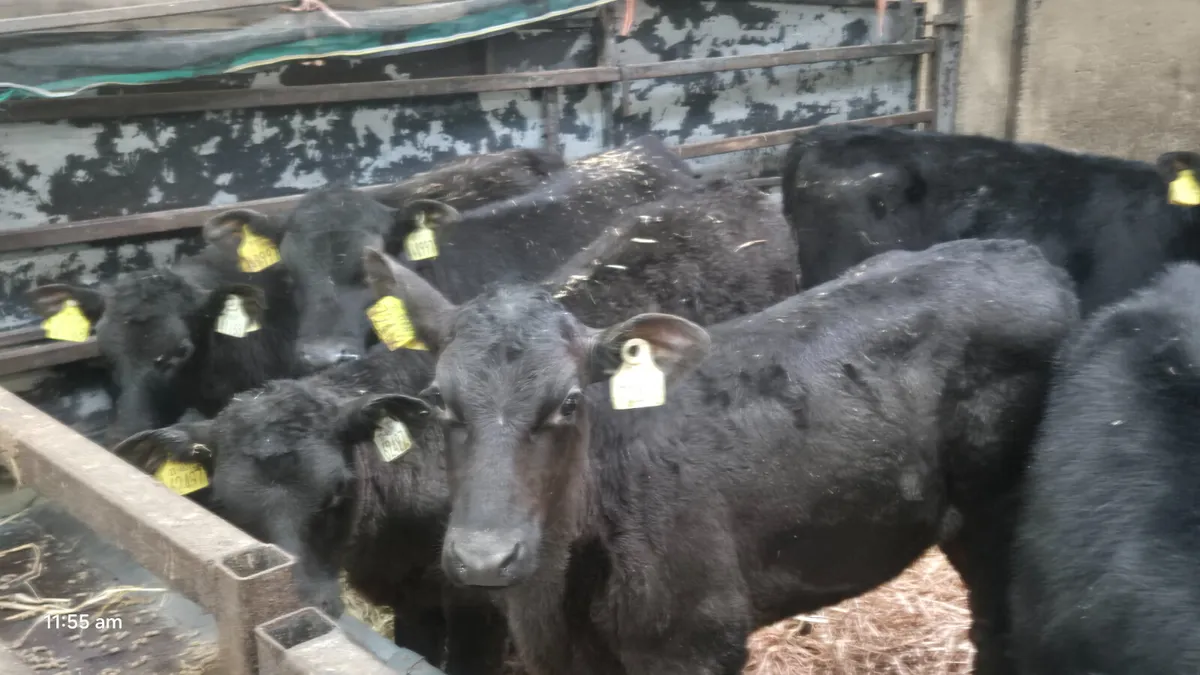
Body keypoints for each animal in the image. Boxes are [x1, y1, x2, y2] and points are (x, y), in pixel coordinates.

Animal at [373, 237, 1079, 675]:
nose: (483, 558)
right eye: (437, 398)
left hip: (995, 516)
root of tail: (1022, 253)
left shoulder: (695, 641)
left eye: (570, 401)